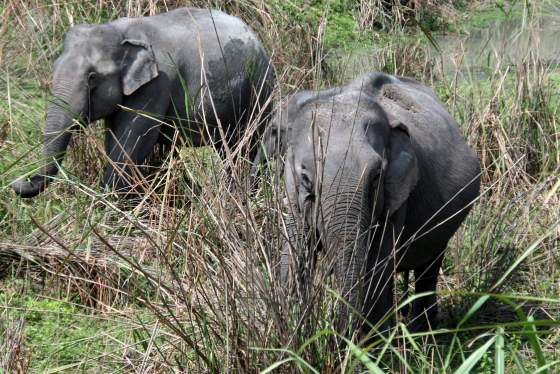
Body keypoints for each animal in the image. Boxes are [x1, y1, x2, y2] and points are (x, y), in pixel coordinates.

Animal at [12, 6, 274, 199]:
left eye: (92, 77)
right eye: (54, 67)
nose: (17, 180)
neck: (121, 31)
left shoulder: (157, 84)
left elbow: (133, 142)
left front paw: (107, 205)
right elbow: (115, 139)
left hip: (260, 88)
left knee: (251, 145)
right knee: (230, 149)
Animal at [268, 71, 482, 334]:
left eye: (376, 175)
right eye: (306, 178)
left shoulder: (397, 199)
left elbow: (377, 266)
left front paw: (373, 342)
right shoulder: (293, 198)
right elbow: (294, 254)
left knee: (429, 265)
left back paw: (423, 330)